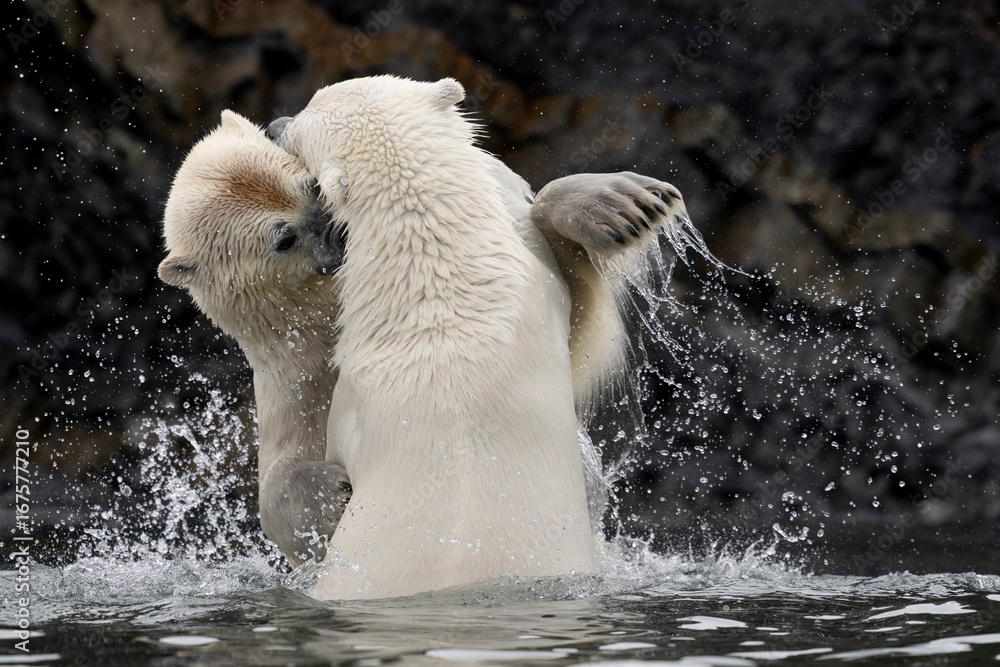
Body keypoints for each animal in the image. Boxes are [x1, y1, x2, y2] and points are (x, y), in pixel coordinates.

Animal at [159, 98, 694, 575]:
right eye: (283, 239)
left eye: (311, 184)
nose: (337, 233)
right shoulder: (299, 382)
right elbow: (281, 489)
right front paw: (332, 498)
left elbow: (574, 336)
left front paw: (618, 205)